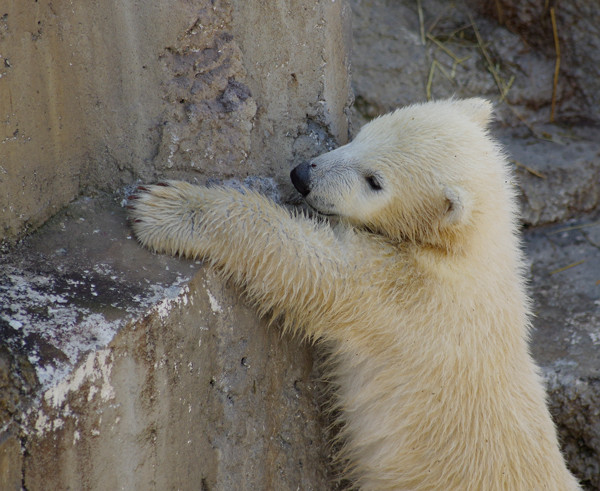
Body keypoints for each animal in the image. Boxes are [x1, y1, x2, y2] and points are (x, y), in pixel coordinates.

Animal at [127, 98, 580, 490]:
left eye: (374, 181)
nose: (302, 175)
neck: (467, 252)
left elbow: (312, 266)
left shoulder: (404, 293)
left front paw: (166, 209)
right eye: (363, 133)